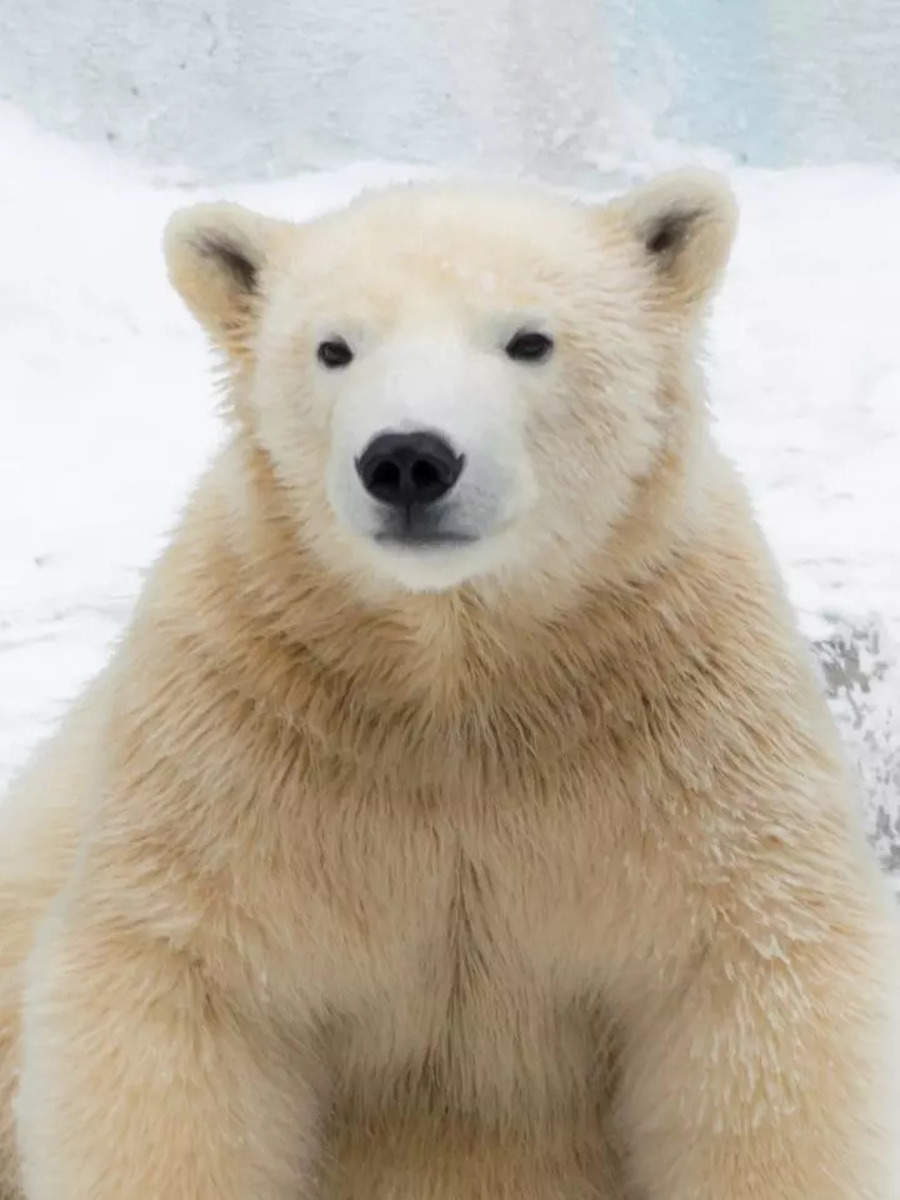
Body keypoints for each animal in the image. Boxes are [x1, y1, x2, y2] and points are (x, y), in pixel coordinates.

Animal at [1, 169, 900, 1200]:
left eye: (530, 339)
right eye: (334, 347)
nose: (408, 460)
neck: (456, 669)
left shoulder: (681, 723)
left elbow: (753, 993)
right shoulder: (244, 730)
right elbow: (185, 988)